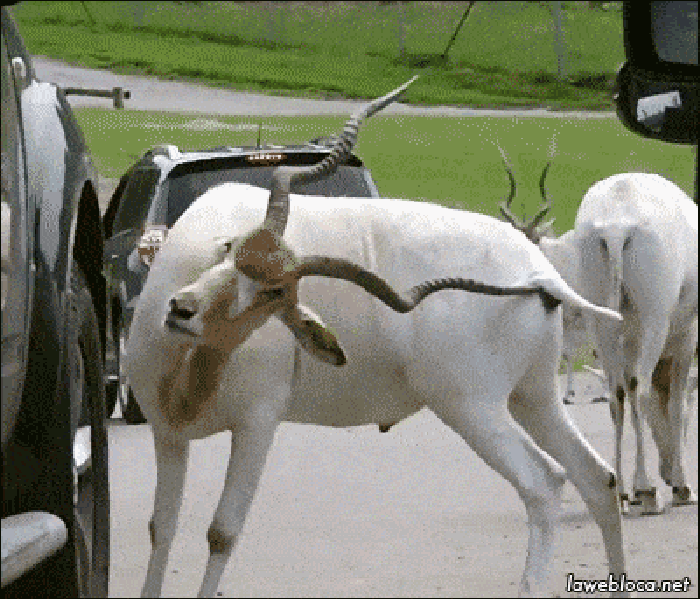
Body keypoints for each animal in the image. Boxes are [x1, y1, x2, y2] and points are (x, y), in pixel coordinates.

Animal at [126, 79, 628, 597]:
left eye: (274, 293)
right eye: (231, 250)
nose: (182, 310)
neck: (188, 371)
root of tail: (539, 273)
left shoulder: (256, 425)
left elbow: (222, 532)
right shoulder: (167, 432)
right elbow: (161, 528)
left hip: (471, 406)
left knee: (545, 483)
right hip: (533, 397)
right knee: (598, 478)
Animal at [499, 158, 698, 515]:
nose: (667, 471)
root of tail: (617, 226)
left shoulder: (628, 339)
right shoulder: (685, 337)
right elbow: (675, 404)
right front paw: (682, 487)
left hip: (602, 322)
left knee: (618, 392)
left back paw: (623, 492)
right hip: (654, 320)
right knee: (638, 389)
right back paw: (647, 491)